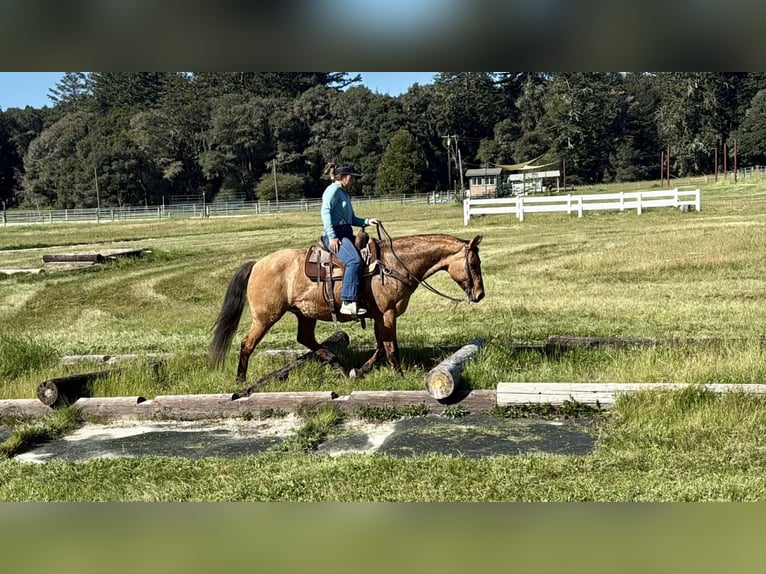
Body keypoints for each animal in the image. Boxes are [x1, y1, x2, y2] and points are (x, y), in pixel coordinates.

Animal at [209, 232, 485, 383]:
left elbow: (381, 346)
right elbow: (390, 348)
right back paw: (240, 380)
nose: (480, 295)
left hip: (305, 314)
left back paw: (338, 365)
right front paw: (399, 375)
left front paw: (359, 371)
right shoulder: (386, 314)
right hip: (265, 317)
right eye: (473, 263)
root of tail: (257, 264)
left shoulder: (380, 316)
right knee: (247, 343)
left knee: (305, 338)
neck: (394, 264)